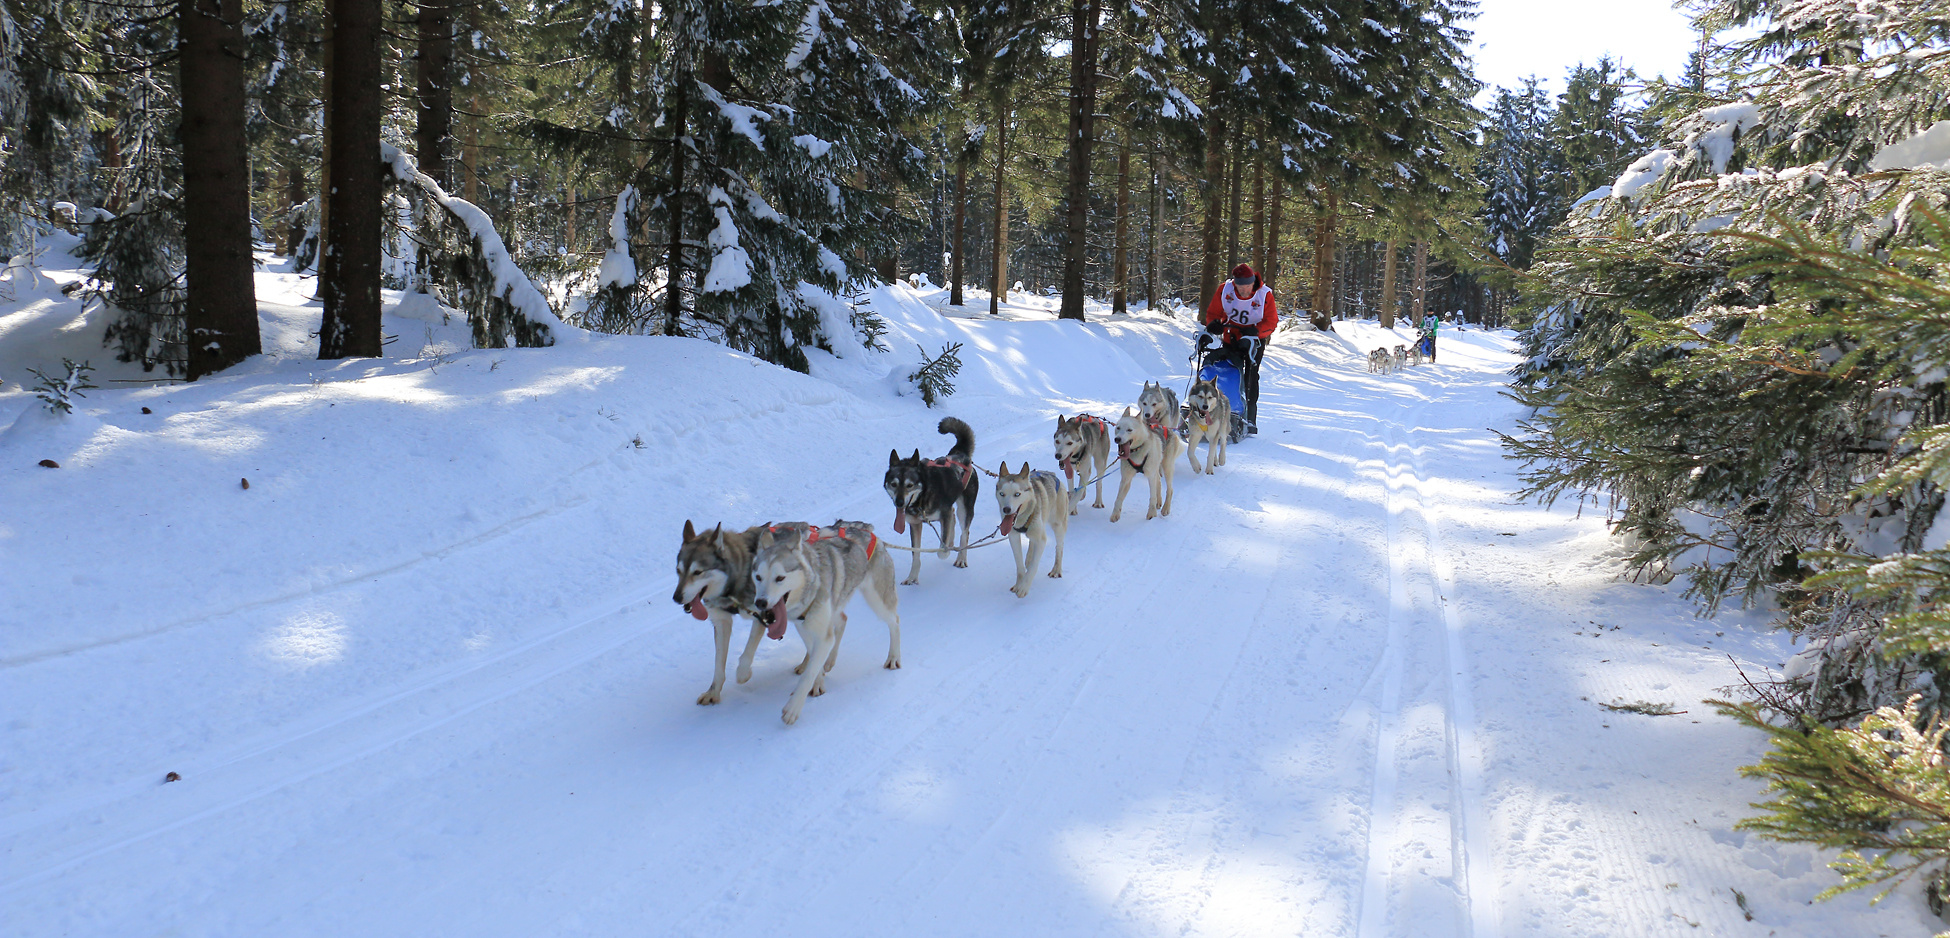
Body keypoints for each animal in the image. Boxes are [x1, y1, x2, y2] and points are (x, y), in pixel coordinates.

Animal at [748, 518, 900, 725]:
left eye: (780, 578)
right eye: (758, 577)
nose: (760, 602)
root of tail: (869, 532)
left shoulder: (821, 635)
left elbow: (809, 673)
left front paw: (794, 707)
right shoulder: (805, 628)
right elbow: (814, 659)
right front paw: (818, 682)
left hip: (877, 600)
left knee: (895, 621)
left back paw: (893, 657)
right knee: (843, 620)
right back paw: (830, 660)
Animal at [885, 413, 975, 581]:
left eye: (910, 485)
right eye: (893, 484)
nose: (899, 503)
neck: (923, 497)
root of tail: (960, 454)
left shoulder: (943, 515)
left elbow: (942, 551)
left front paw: (945, 550)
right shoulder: (915, 524)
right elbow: (916, 555)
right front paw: (912, 577)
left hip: (965, 509)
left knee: (964, 532)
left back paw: (960, 558)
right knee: (953, 519)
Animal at [998, 462, 1076, 600]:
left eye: (1017, 494)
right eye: (1002, 494)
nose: (1006, 509)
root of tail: (1052, 475)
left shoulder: (1042, 540)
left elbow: (1034, 566)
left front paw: (1024, 587)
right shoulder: (1013, 537)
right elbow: (1019, 565)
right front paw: (1019, 583)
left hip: (1058, 525)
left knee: (1059, 547)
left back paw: (1056, 569)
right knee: (1031, 542)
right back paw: (1029, 558)